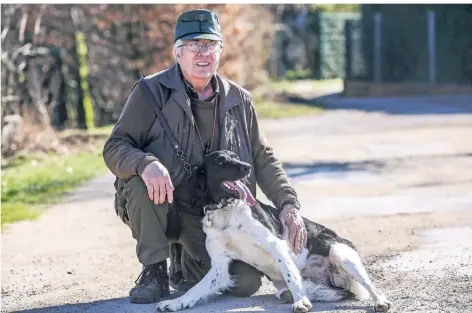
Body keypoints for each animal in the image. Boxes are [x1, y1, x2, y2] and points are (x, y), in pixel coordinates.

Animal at [157, 150, 392, 310]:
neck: (225, 211)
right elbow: (196, 289)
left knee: (369, 286)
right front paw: (175, 302)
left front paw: (301, 302)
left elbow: (290, 274)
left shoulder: (275, 244)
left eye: (235, 156)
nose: (246, 167)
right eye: (222, 161)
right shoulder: (220, 265)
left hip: (340, 252)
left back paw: (380, 301)